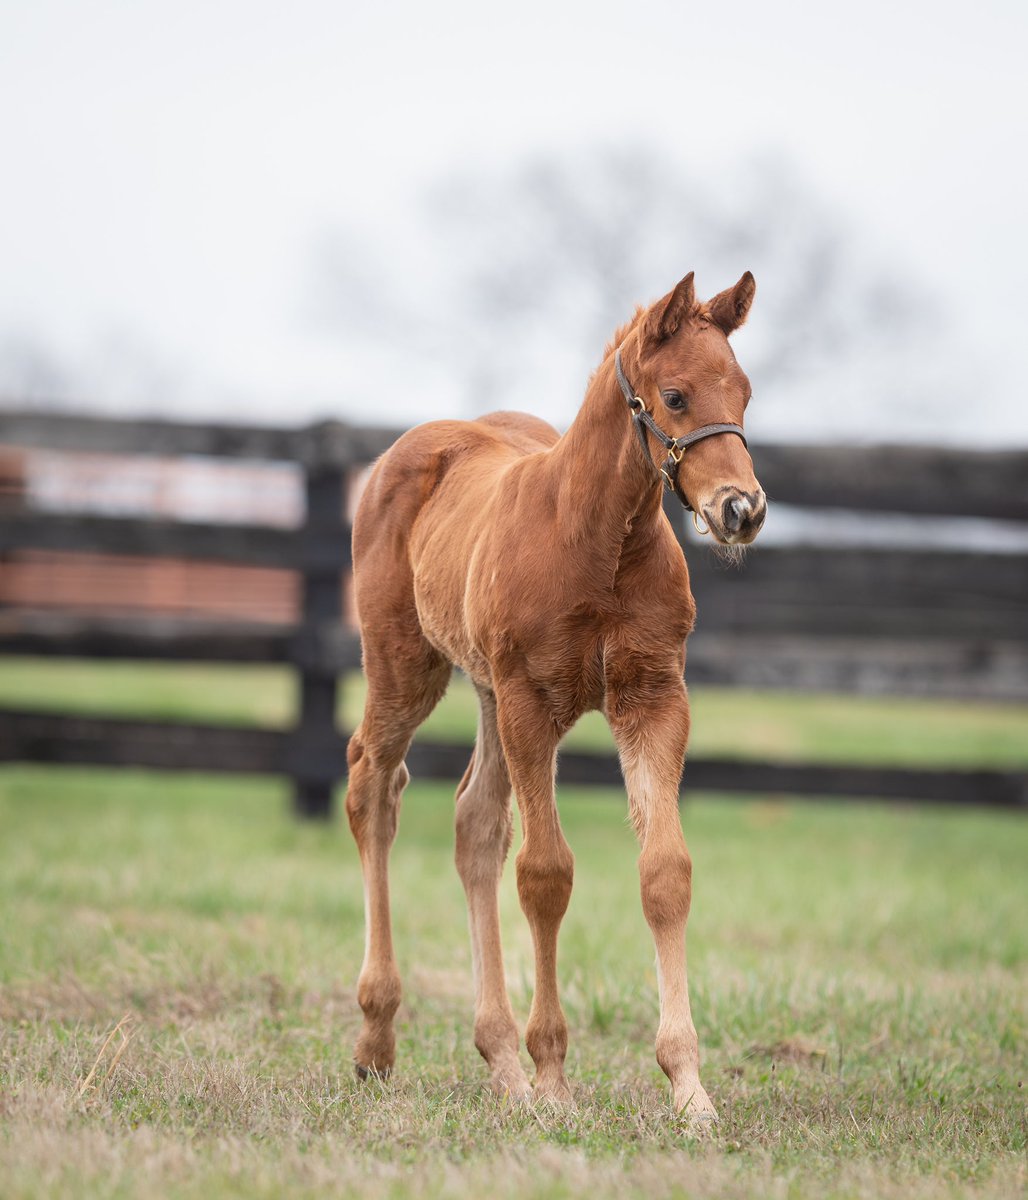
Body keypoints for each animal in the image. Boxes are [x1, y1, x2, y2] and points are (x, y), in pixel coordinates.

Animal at [345, 270, 766, 1118]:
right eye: (675, 396)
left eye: (743, 392)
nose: (742, 510)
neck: (599, 541)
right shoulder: (531, 701)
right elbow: (546, 874)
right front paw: (553, 1079)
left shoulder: (653, 698)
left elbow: (665, 872)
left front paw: (688, 1088)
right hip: (409, 668)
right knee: (372, 784)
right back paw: (378, 1037)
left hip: (483, 689)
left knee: (474, 822)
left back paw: (498, 1060)